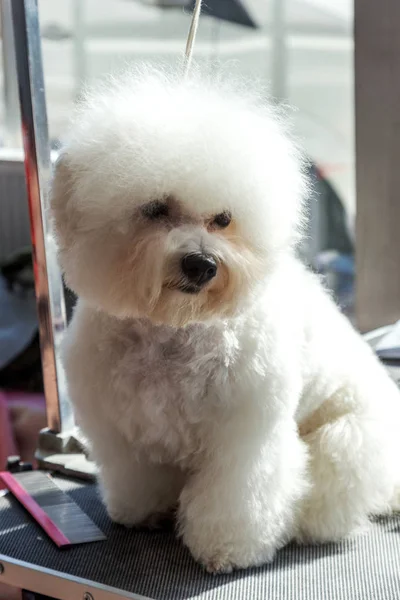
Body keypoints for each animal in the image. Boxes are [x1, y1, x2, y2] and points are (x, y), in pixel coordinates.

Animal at [50, 65, 400, 572]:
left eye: (224, 218)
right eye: (155, 208)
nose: (202, 264)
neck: (173, 331)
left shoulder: (243, 437)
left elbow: (236, 499)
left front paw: (226, 548)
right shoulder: (122, 431)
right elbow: (138, 476)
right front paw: (144, 512)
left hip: (347, 439)